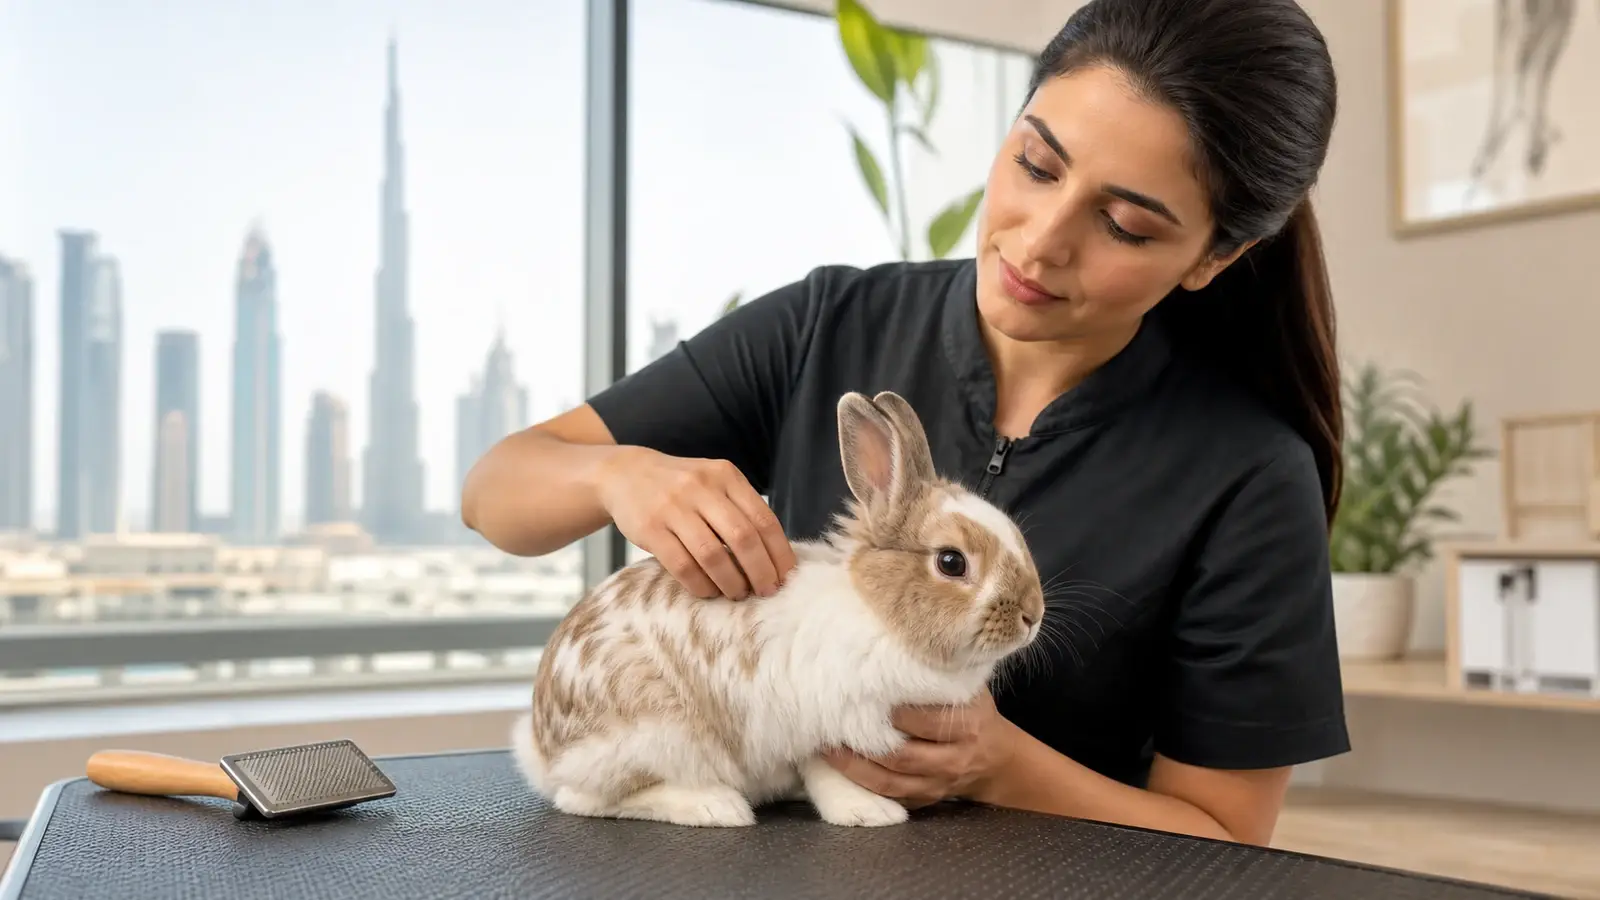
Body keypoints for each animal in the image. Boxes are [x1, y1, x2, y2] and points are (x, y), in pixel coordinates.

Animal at [509, 389, 1045, 828]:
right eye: (951, 562)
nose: (1032, 615)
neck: (877, 615)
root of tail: (542, 745)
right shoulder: (827, 729)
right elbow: (829, 775)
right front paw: (870, 812)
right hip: (659, 736)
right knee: (586, 799)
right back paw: (715, 806)